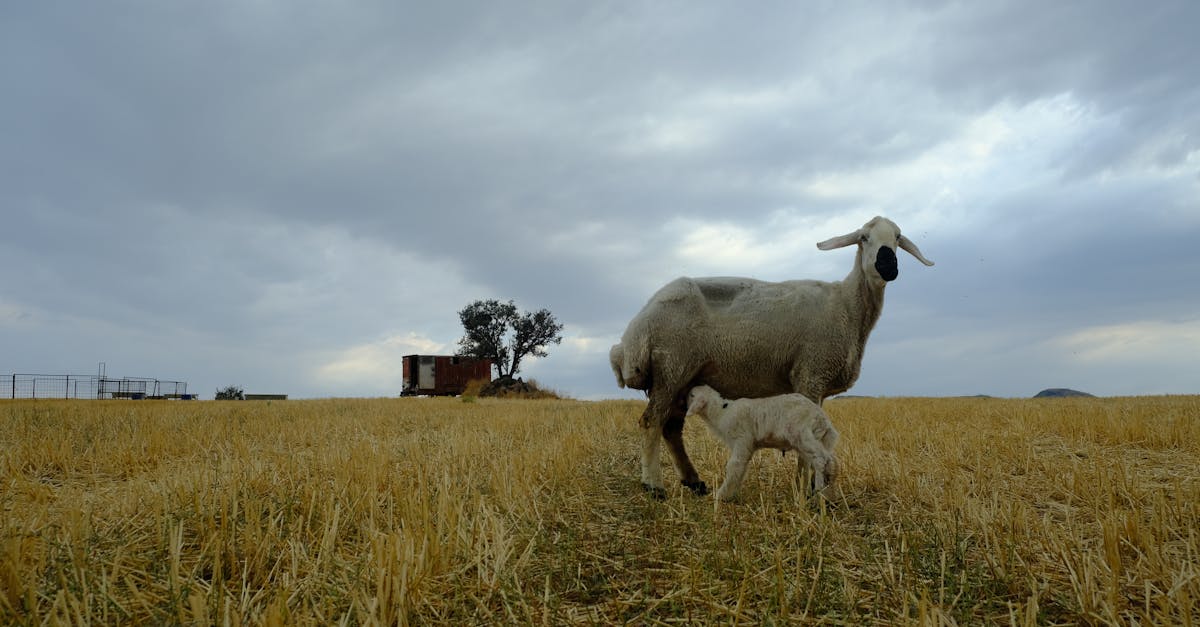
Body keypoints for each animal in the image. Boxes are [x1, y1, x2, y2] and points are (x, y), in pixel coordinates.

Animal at [686, 385, 839, 502]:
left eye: (692, 394)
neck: (721, 412)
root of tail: (822, 418)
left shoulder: (741, 439)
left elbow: (734, 465)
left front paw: (721, 495)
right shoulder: (747, 445)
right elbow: (740, 468)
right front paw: (732, 493)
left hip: (802, 435)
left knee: (821, 460)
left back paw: (819, 494)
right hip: (818, 439)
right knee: (829, 460)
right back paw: (828, 493)